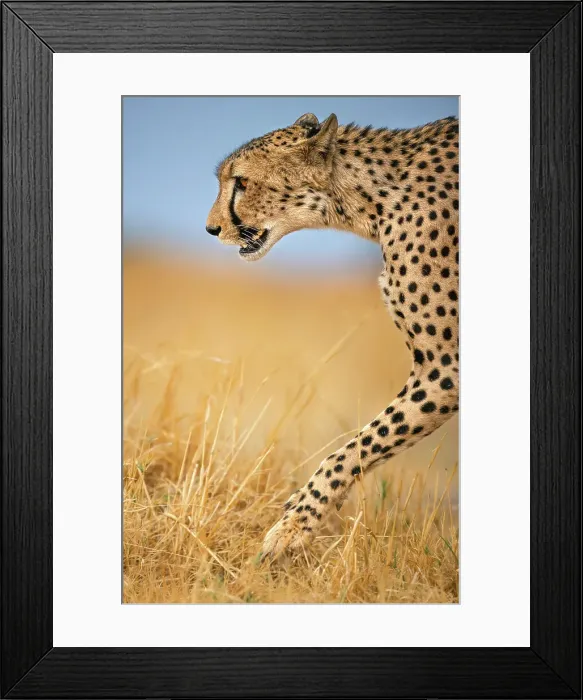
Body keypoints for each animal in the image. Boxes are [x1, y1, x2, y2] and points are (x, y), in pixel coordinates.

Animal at [206, 112, 459, 560]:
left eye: (241, 182)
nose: (211, 228)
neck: (375, 198)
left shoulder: (445, 366)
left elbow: (352, 449)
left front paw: (291, 528)